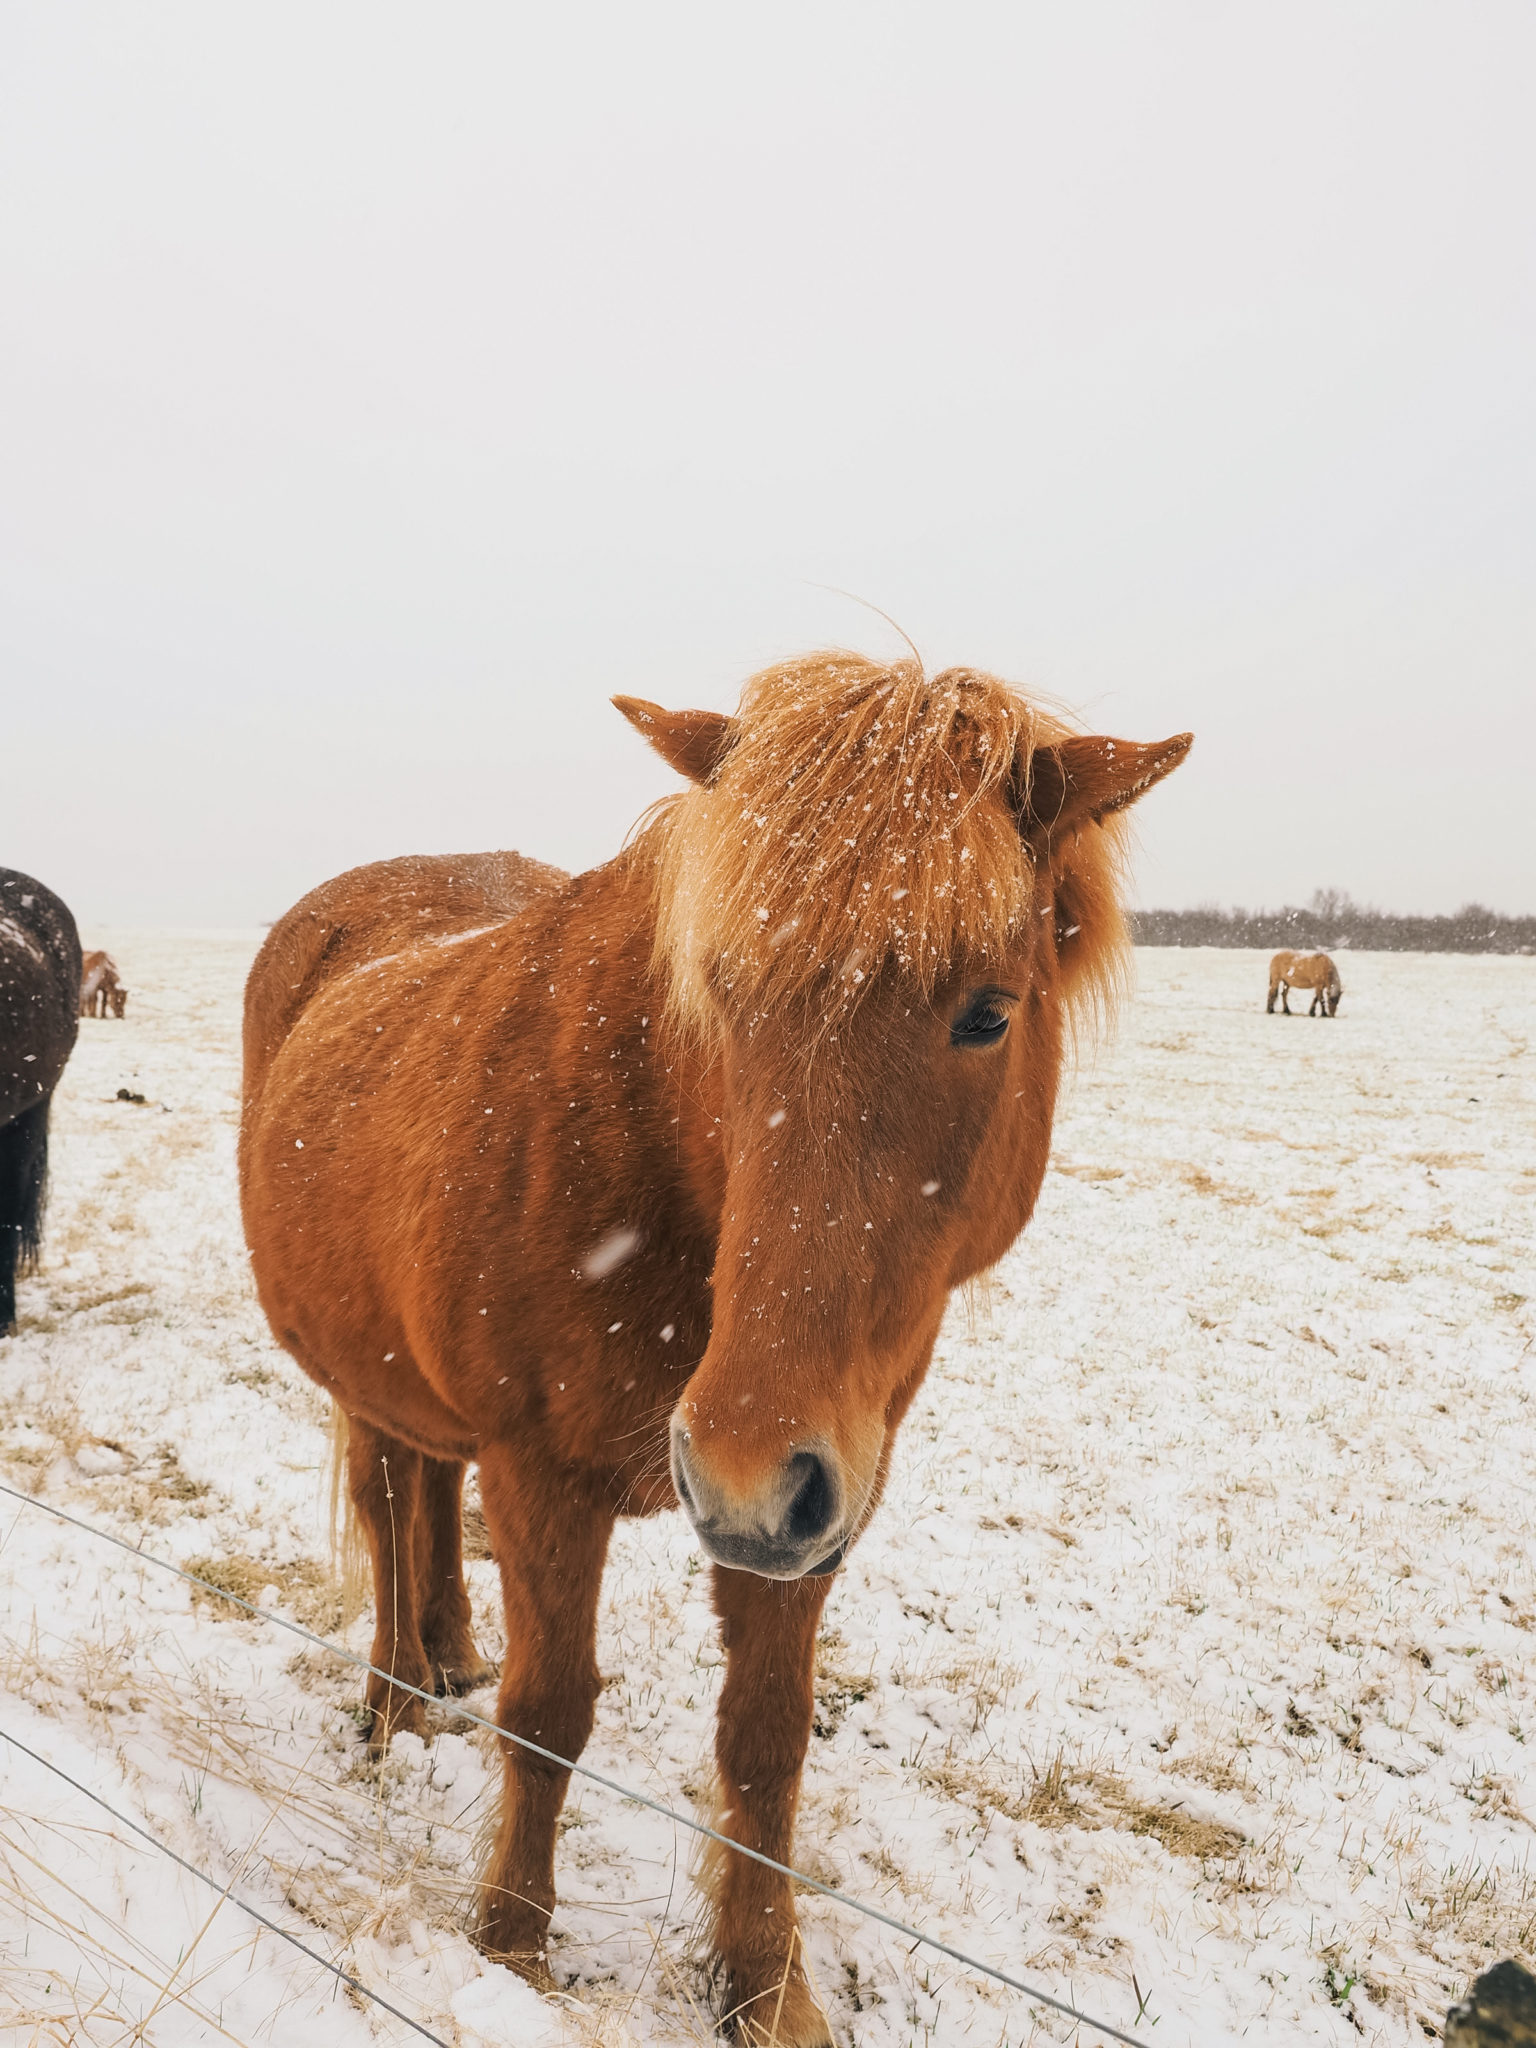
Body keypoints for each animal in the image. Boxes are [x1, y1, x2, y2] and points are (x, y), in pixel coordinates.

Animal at [243, 659, 1204, 2048]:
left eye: (988, 1012)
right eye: (723, 988)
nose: (743, 1467)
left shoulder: (822, 1496)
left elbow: (766, 1742)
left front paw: (763, 1988)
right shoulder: (546, 1476)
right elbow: (549, 1713)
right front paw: (510, 1948)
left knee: (426, 1490)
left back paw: (445, 1654)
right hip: (361, 1378)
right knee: (384, 1509)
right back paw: (387, 1701)